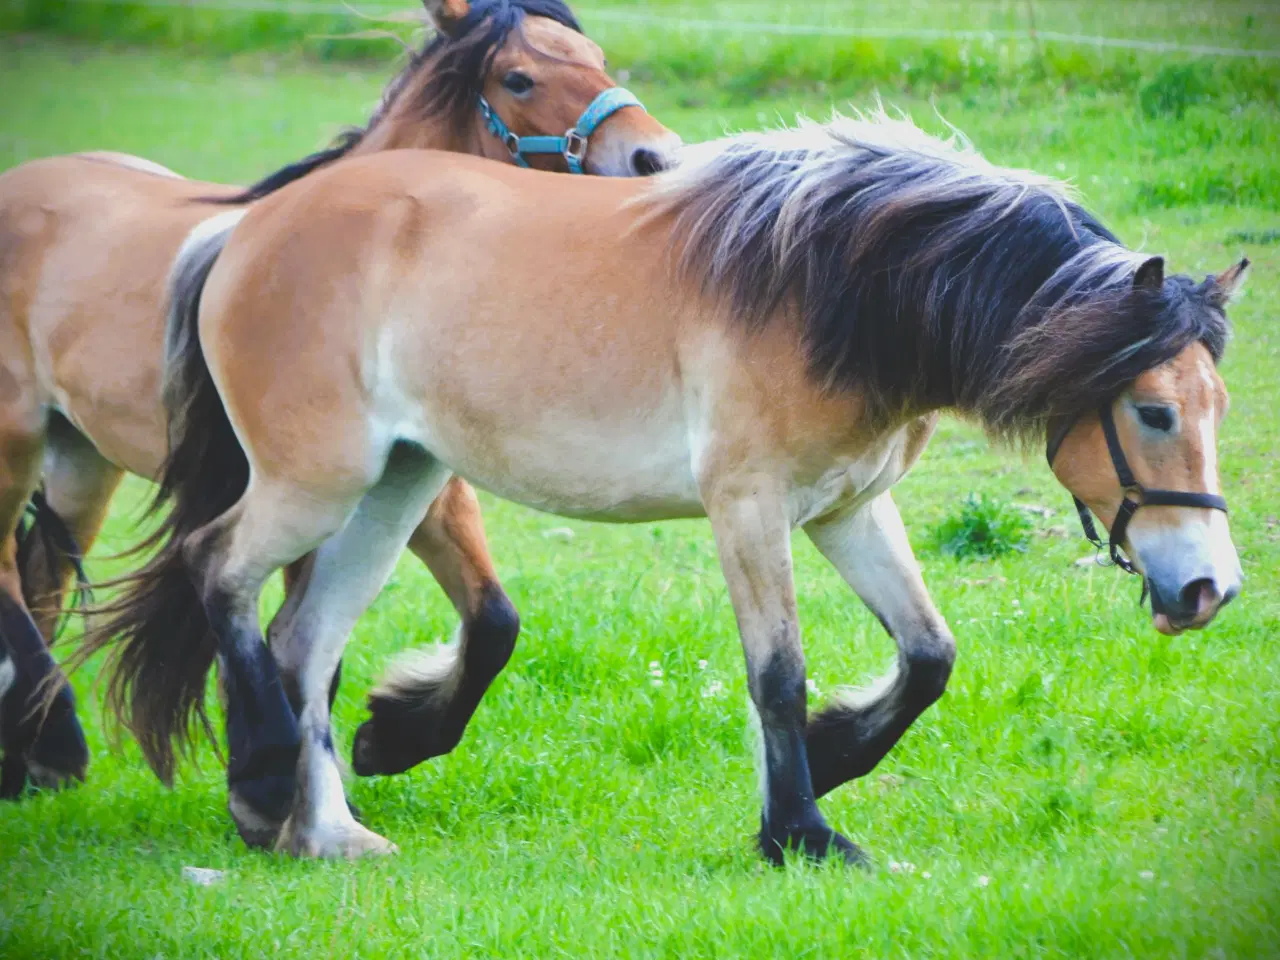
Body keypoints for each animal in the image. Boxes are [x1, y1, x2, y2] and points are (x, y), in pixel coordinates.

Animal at [0, 0, 680, 803]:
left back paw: (27, 757)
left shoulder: (422, 486)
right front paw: (282, 773)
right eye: (519, 78)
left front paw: (384, 740)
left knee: (39, 581)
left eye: (597, 57)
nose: (655, 158)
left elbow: (491, 623)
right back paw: (58, 740)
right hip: (15, 442)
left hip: (82, 463)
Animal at [85, 112, 1244, 865]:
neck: (827, 279)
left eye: (1217, 405)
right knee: (218, 572)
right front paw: (801, 833)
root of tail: (241, 229)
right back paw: (266, 780)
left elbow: (927, 658)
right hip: (316, 483)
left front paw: (830, 760)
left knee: (303, 640)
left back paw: (326, 828)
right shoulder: (749, 509)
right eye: (1153, 412)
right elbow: (776, 673)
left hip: (394, 486)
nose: (1208, 592)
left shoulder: (846, 509)